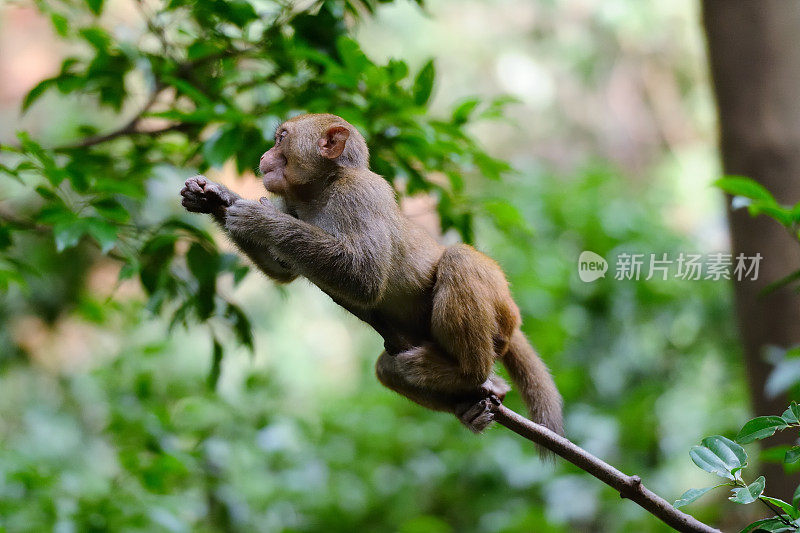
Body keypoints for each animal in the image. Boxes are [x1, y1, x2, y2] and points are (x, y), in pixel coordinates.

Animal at [180, 114, 564, 434]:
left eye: (281, 139)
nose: (263, 156)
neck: (322, 188)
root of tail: (513, 317)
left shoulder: (360, 195)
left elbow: (364, 278)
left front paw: (260, 219)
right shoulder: (295, 204)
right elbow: (283, 270)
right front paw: (213, 197)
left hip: (499, 313)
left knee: (459, 259)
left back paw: (469, 372)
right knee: (387, 366)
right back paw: (472, 403)